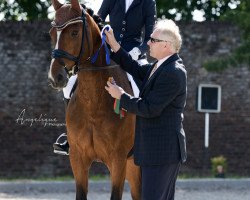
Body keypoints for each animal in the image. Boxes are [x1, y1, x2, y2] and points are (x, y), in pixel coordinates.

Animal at [47, 0, 141, 200]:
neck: (93, 103)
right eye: (52, 34)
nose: (55, 77)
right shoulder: (78, 158)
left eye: (75, 33)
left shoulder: (118, 159)